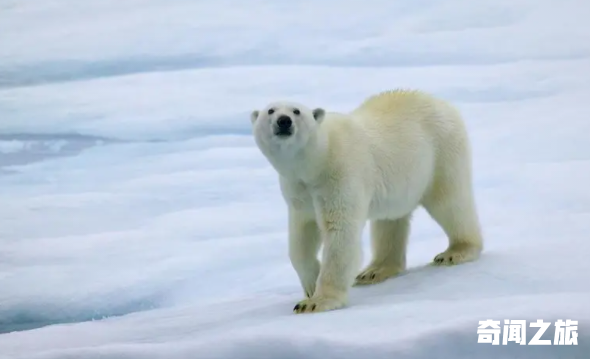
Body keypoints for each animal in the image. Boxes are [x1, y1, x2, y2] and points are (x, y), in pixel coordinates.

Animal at [250, 88, 486, 314]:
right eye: (270, 110)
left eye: (297, 111)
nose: (284, 121)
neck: (316, 161)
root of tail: (442, 103)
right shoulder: (298, 189)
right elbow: (302, 234)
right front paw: (310, 284)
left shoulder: (340, 175)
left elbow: (340, 232)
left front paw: (316, 302)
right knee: (390, 221)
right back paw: (375, 270)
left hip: (441, 153)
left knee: (449, 202)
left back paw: (455, 252)